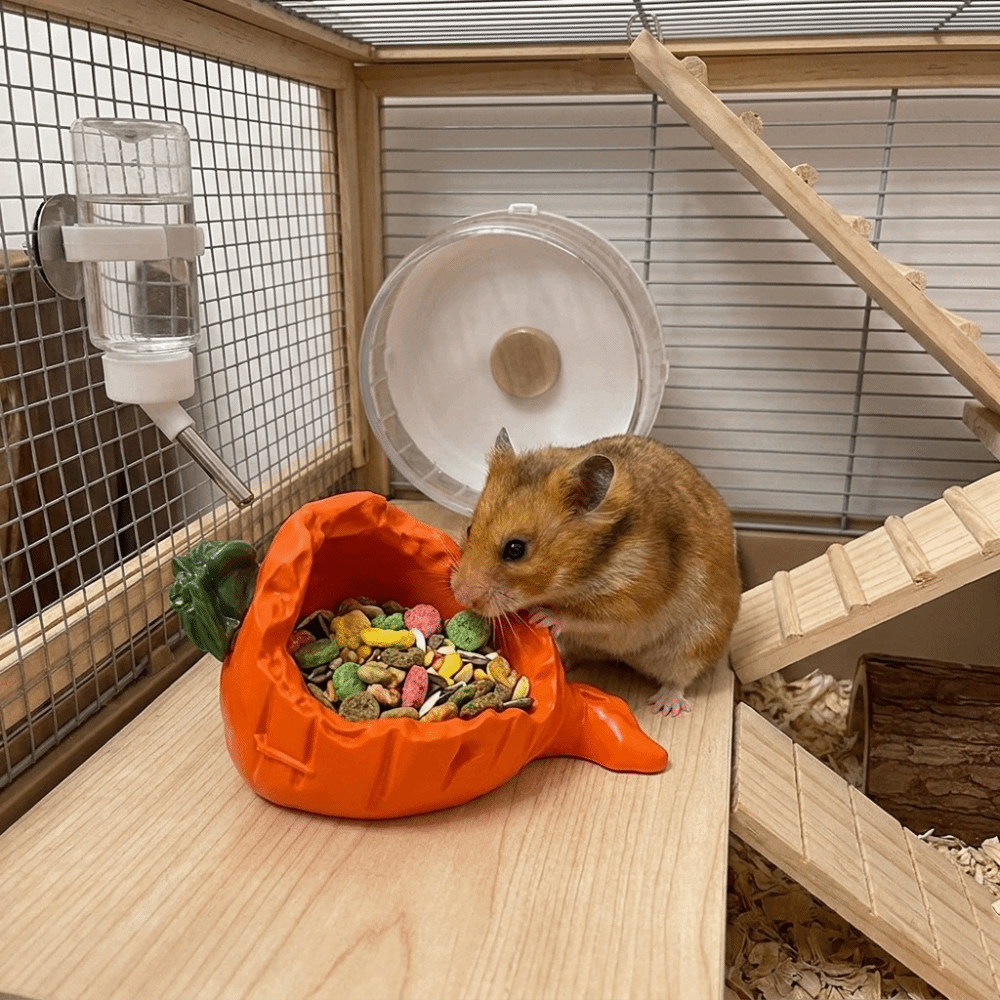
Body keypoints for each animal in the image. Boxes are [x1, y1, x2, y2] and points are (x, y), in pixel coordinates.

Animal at [450, 429, 741, 716]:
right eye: (469, 529)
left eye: (515, 549)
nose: (460, 596)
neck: (579, 575)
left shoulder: (627, 602)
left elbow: (583, 617)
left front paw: (541, 617)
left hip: (695, 644)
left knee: (678, 680)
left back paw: (666, 706)